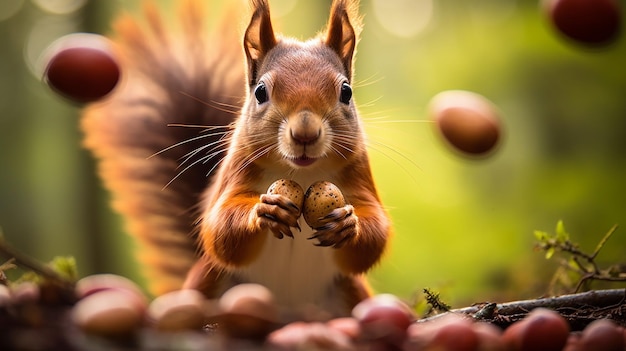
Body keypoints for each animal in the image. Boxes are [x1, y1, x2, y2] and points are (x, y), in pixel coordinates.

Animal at [78, 0, 390, 322]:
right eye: (260, 92)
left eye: (346, 92)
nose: (305, 133)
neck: (300, 172)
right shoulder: (235, 171)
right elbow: (219, 230)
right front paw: (265, 211)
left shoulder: (359, 173)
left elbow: (374, 236)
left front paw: (347, 224)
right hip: (208, 282)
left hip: (350, 294)